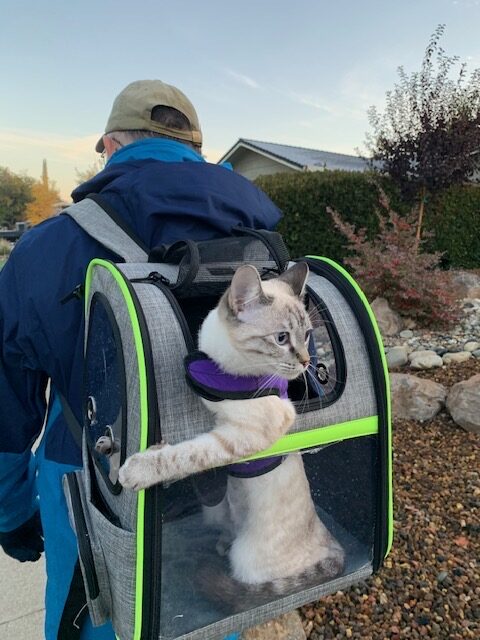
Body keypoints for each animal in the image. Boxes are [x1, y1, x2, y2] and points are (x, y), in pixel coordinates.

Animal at [120, 262, 344, 604]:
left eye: (306, 335)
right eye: (281, 338)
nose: (307, 362)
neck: (228, 365)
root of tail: (333, 546)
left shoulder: (242, 433)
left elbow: (186, 455)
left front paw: (137, 469)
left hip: (247, 558)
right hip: (217, 511)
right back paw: (222, 542)